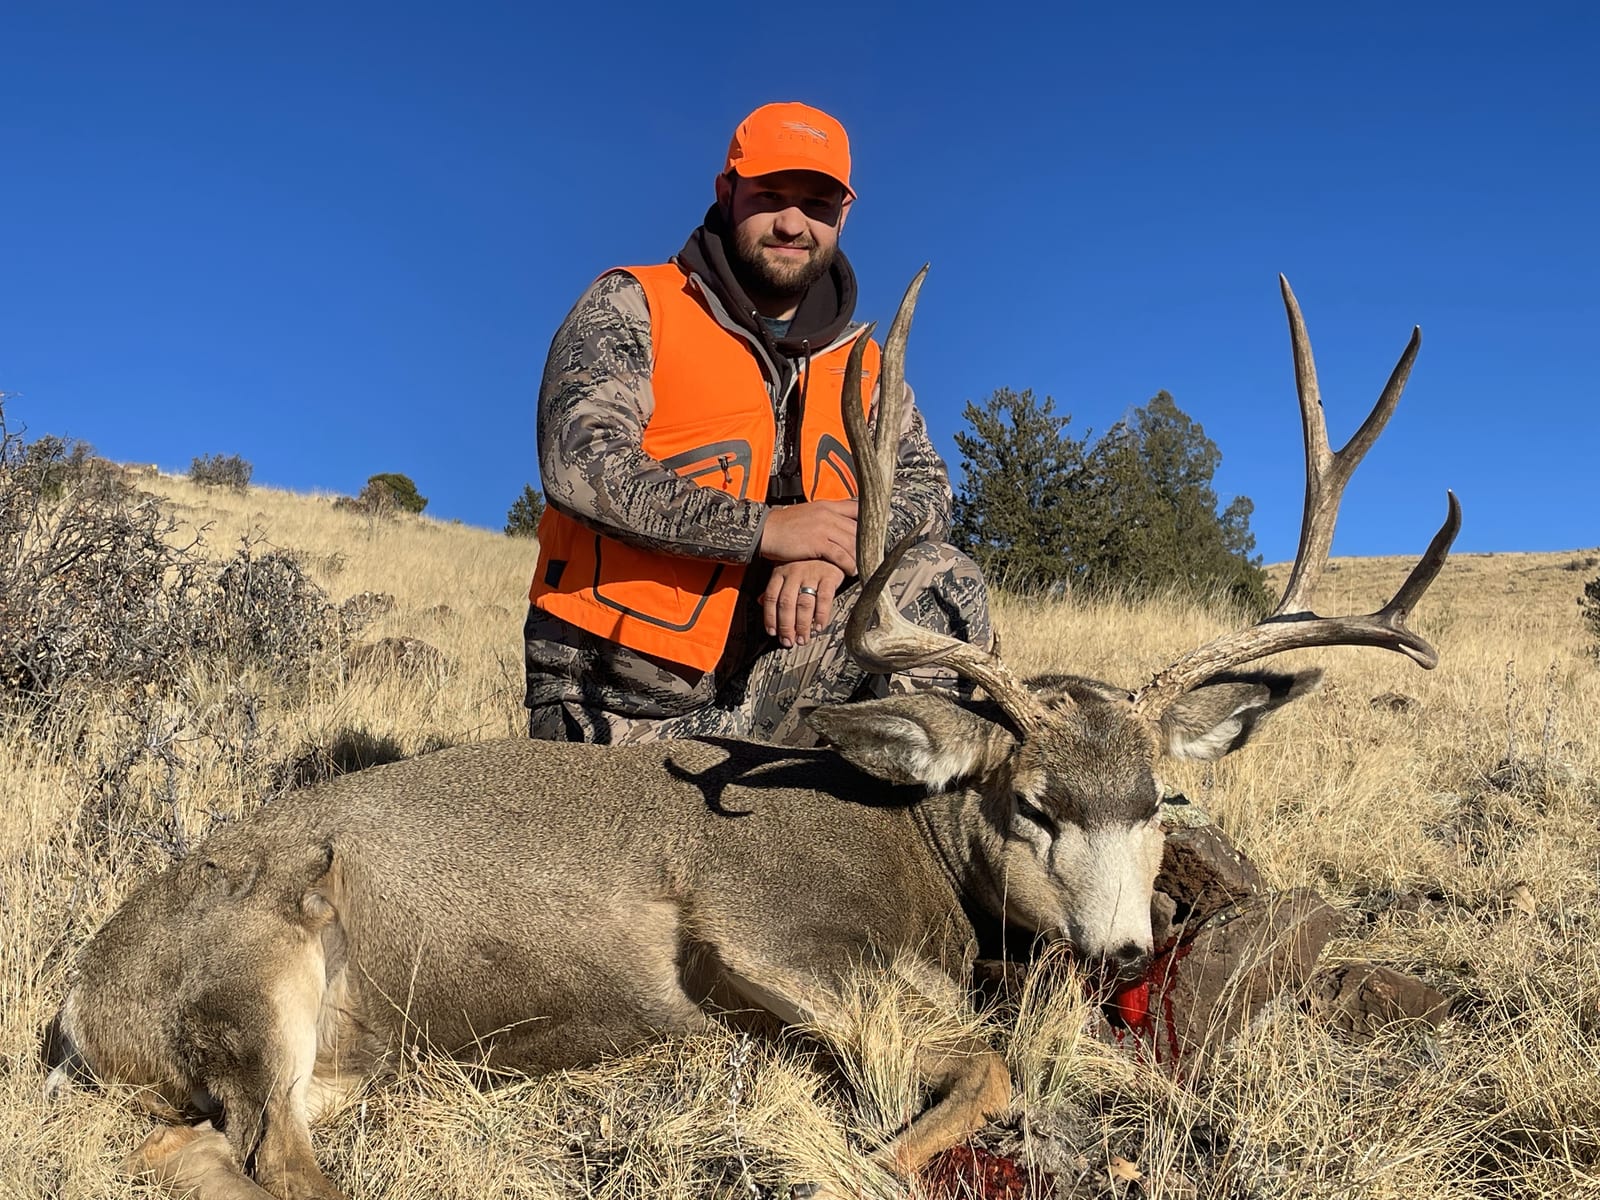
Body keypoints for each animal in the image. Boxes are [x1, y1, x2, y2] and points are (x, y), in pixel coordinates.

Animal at [44, 270, 1459, 1200]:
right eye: (1031, 801)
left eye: (1159, 800)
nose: (1121, 952)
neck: (909, 853)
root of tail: (79, 1002)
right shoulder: (763, 929)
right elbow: (985, 1061)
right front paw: (866, 1153)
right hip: (260, 962)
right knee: (274, 1161)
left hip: (343, 1053)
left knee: (192, 1146)